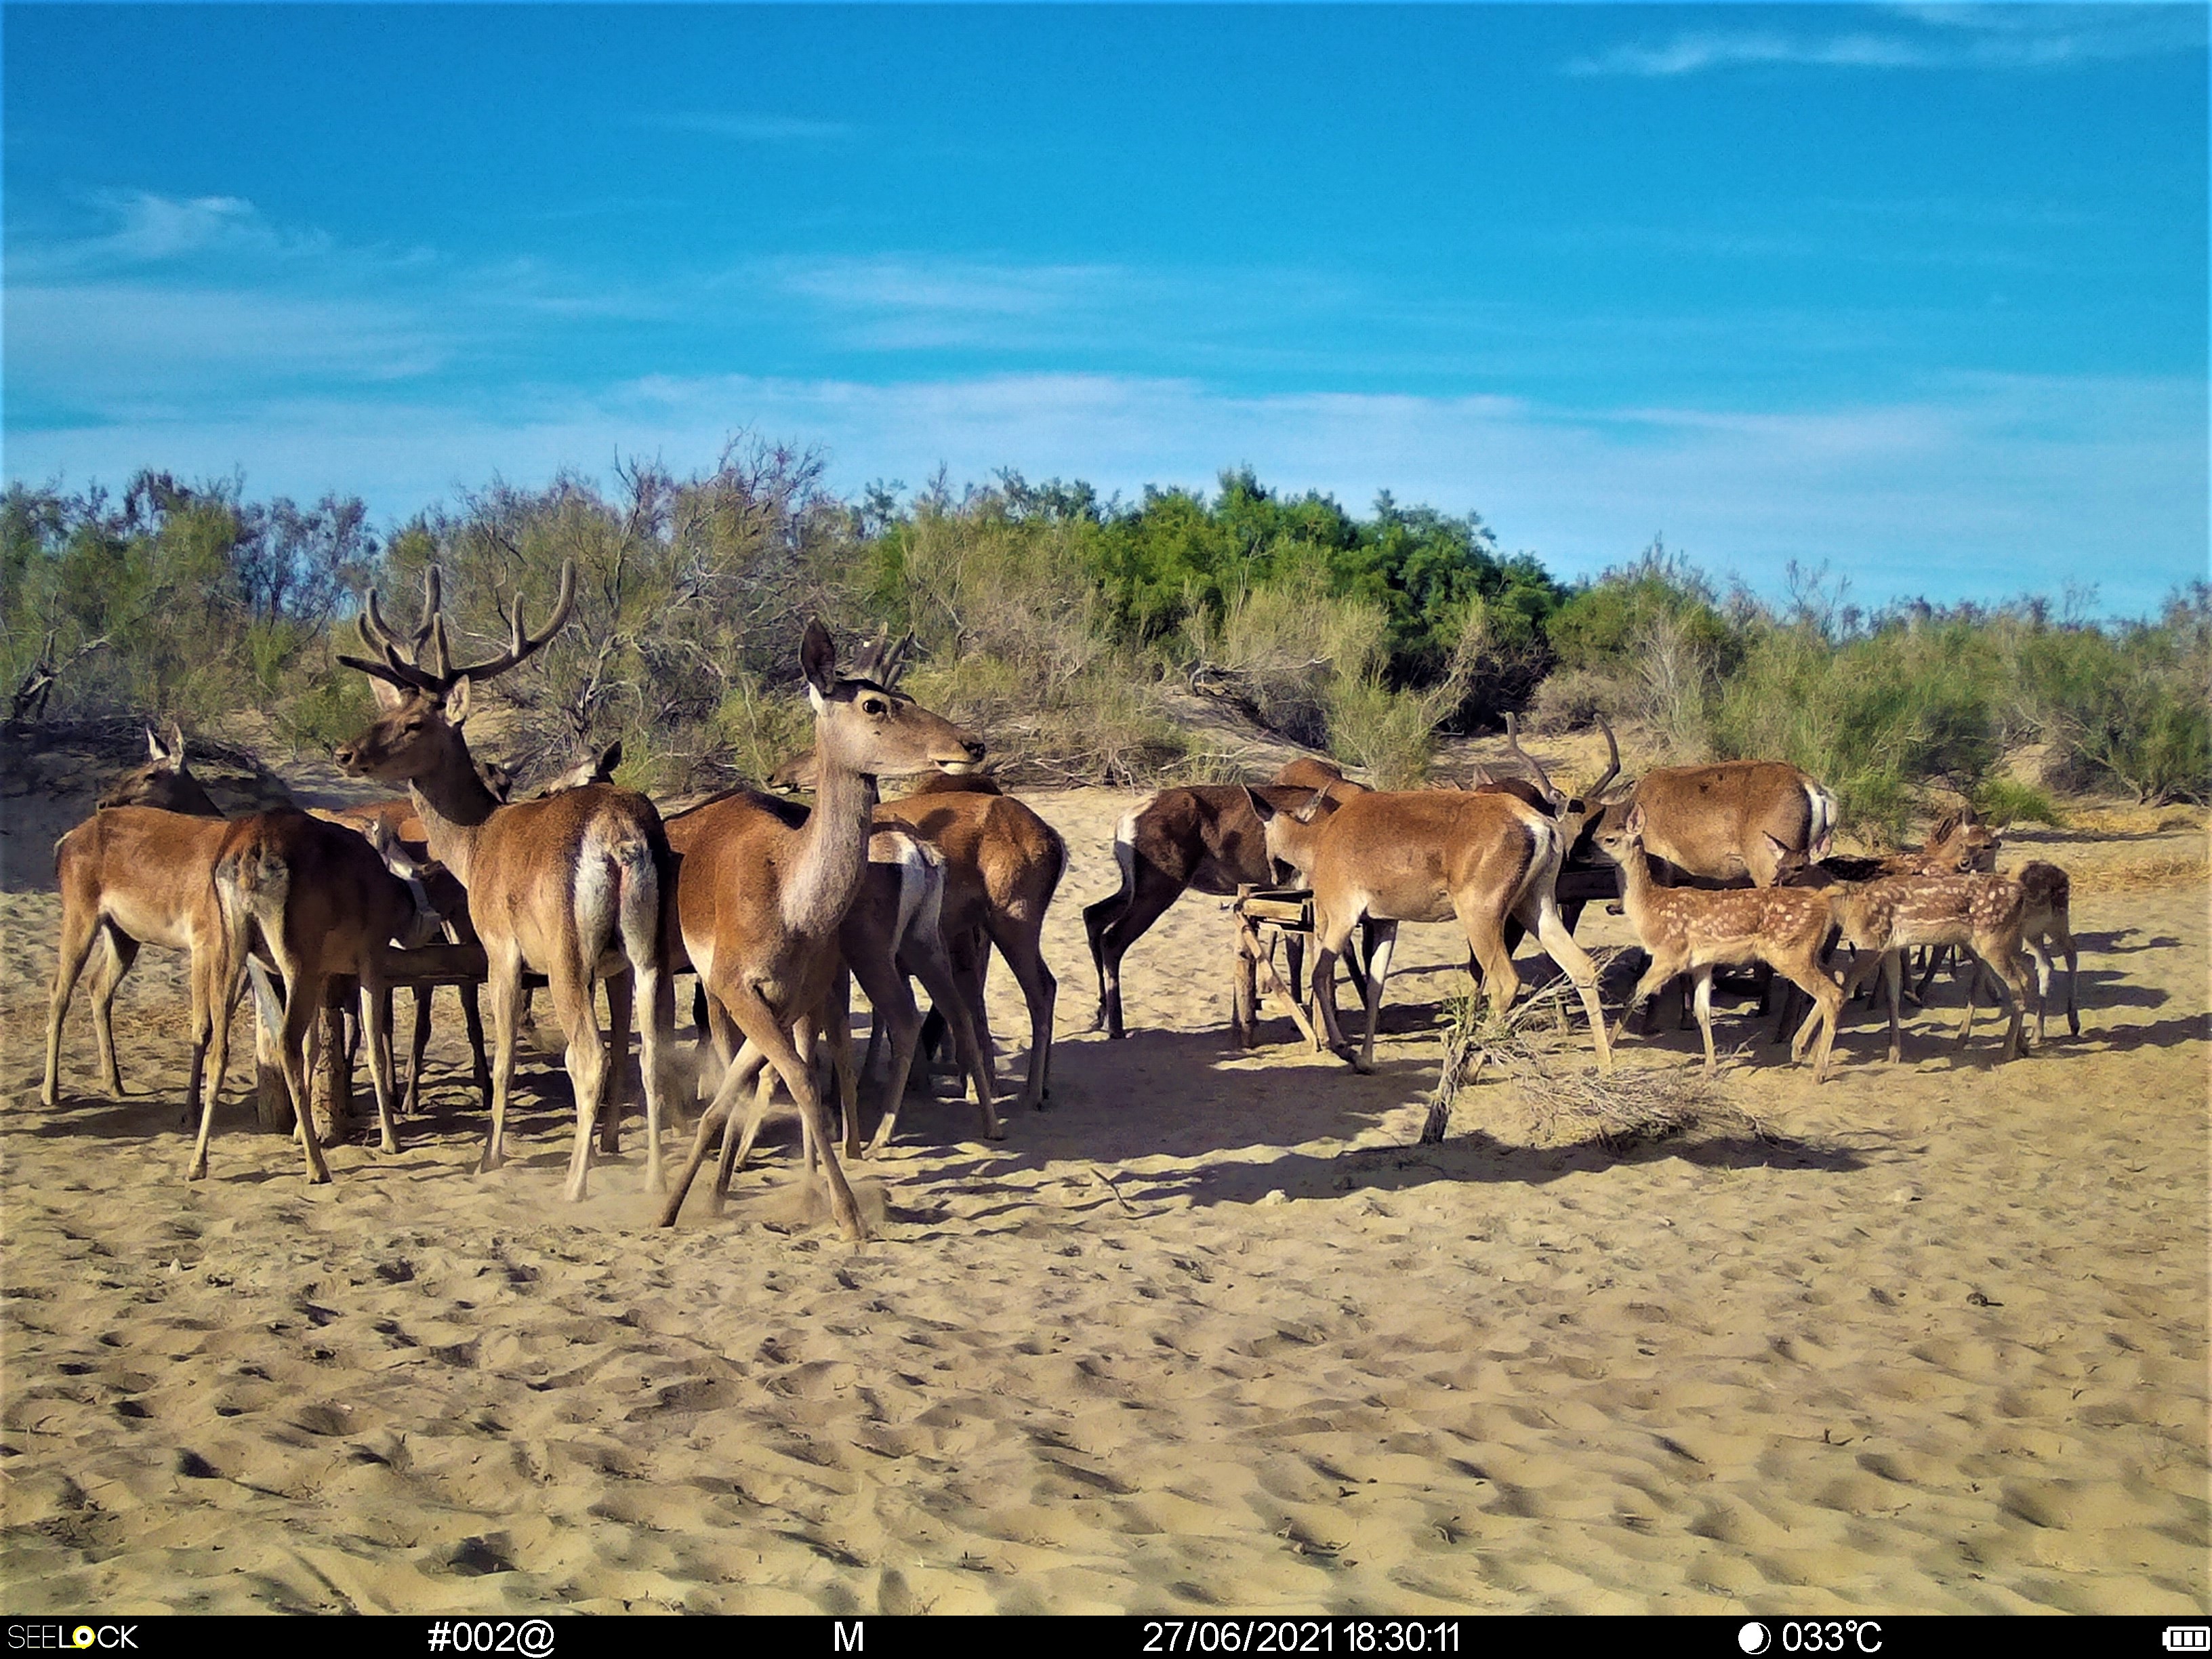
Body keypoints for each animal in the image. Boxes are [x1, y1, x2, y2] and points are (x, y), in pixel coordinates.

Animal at [331, 566, 676, 1203]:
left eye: (414, 723)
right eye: (386, 712)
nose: (345, 752)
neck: (475, 844)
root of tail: (620, 838)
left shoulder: (501, 947)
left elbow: (504, 1055)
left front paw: (488, 1157)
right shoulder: (606, 965)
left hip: (567, 951)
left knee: (586, 1055)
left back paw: (573, 1184)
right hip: (651, 948)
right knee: (651, 1054)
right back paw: (655, 1180)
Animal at [655, 623, 986, 1238]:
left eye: (902, 693)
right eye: (874, 703)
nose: (970, 744)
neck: (792, 902)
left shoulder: (791, 999)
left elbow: (787, 1079)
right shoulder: (743, 991)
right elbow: (799, 1082)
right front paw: (850, 1217)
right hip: (723, 992)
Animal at [1256, 783, 1619, 1070]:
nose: (1275, 875)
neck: (1323, 836)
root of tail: (1537, 824)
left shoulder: (1342, 918)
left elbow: (1320, 975)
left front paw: (1344, 1049)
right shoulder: (1387, 924)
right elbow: (1375, 987)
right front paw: (1366, 1060)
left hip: (1481, 920)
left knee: (1505, 982)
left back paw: (1472, 1063)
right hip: (1536, 909)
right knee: (1582, 966)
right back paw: (1606, 1065)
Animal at [1601, 809, 1840, 1092]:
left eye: (1609, 839)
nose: (1591, 847)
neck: (1649, 908)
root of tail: (1822, 901)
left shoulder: (1669, 955)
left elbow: (1634, 994)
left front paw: (1606, 1048)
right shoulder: (1701, 963)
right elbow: (1702, 1012)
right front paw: (1709, 1069)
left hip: (1789, 953)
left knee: (1830, 994)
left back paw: (1818, 1071)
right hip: (1808, 952)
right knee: (1837, 979)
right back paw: (1801, 1048)